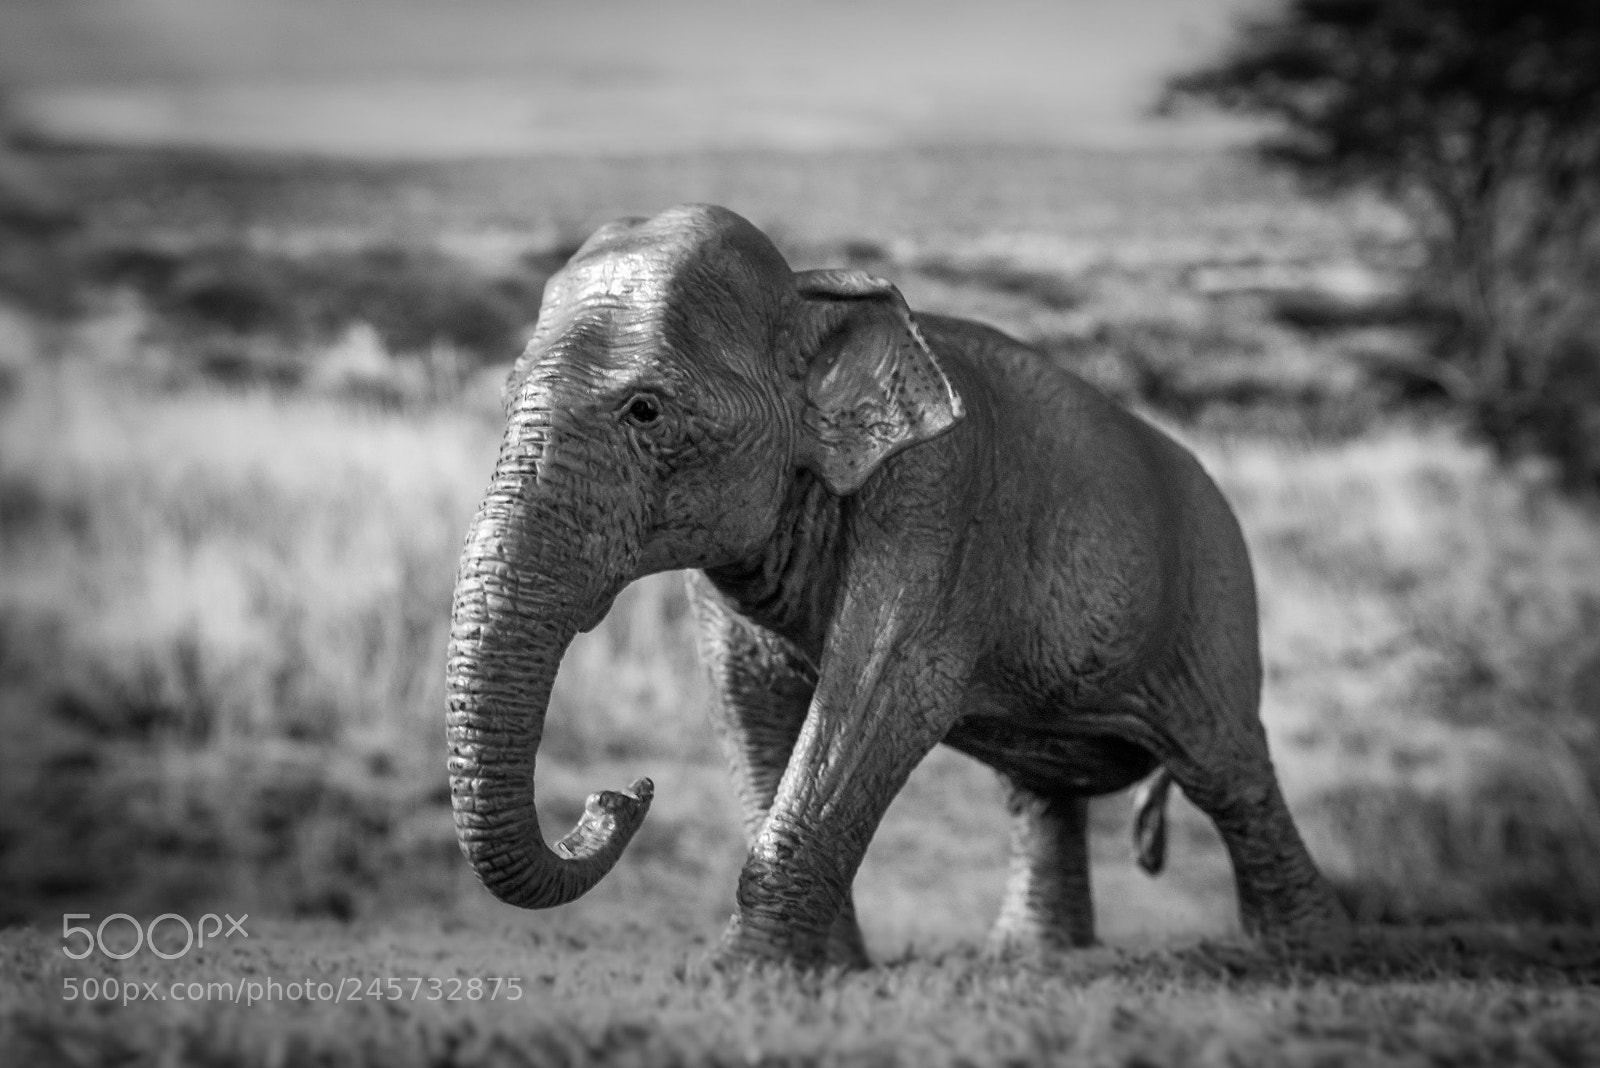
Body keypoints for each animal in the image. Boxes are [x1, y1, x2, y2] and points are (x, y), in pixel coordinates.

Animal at [445, 203, 1347, 968]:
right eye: (505, 393)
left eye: (646, 410)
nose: (621, 795)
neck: (808, 288)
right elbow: (745, 704)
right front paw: (818, 973)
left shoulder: (933, 501)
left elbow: (877, 701)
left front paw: (738, 977)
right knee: (1043, 793)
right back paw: (1034, 960)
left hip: (1213, 594)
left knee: (1227, 771)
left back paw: (1302, 957)